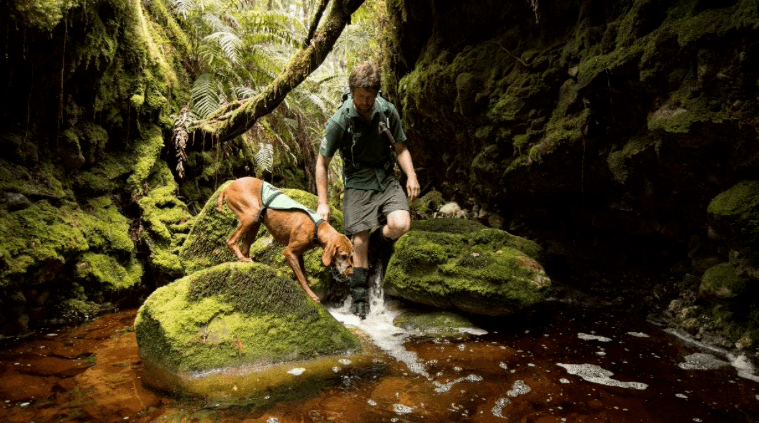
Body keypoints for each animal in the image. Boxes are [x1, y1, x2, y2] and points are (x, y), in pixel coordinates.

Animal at [217, 177, 354, 304]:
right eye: (343, 255)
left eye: (351, 256)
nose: (351, 272)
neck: (317, 227)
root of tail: (228, 187)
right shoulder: (289, 252)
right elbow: (301, 278)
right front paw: (312, 295)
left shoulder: (299, 254)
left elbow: (303, 274)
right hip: (250, 215)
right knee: (231, 241)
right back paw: (242, 257)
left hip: (255, 222)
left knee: (245, 248)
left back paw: (246, 260)